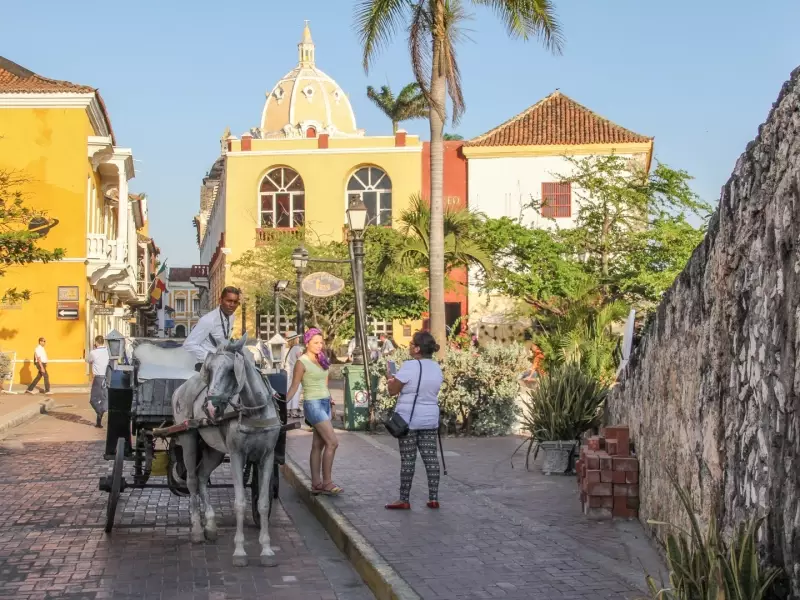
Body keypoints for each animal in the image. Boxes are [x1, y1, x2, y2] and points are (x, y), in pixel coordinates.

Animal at [171, 336, 282, 564]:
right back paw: (197, 530)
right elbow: (239, 503)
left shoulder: (267, 456)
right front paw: (239, 551)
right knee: (192, 481)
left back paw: (211, 525)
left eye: (232, 370)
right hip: (188, 439)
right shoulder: (238, 455)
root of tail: (181, 388)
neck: (255, 411)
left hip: (214, 450)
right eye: (209, 369)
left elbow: (263, 503)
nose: (210, 408)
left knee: (202, 477)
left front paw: (267, 550)